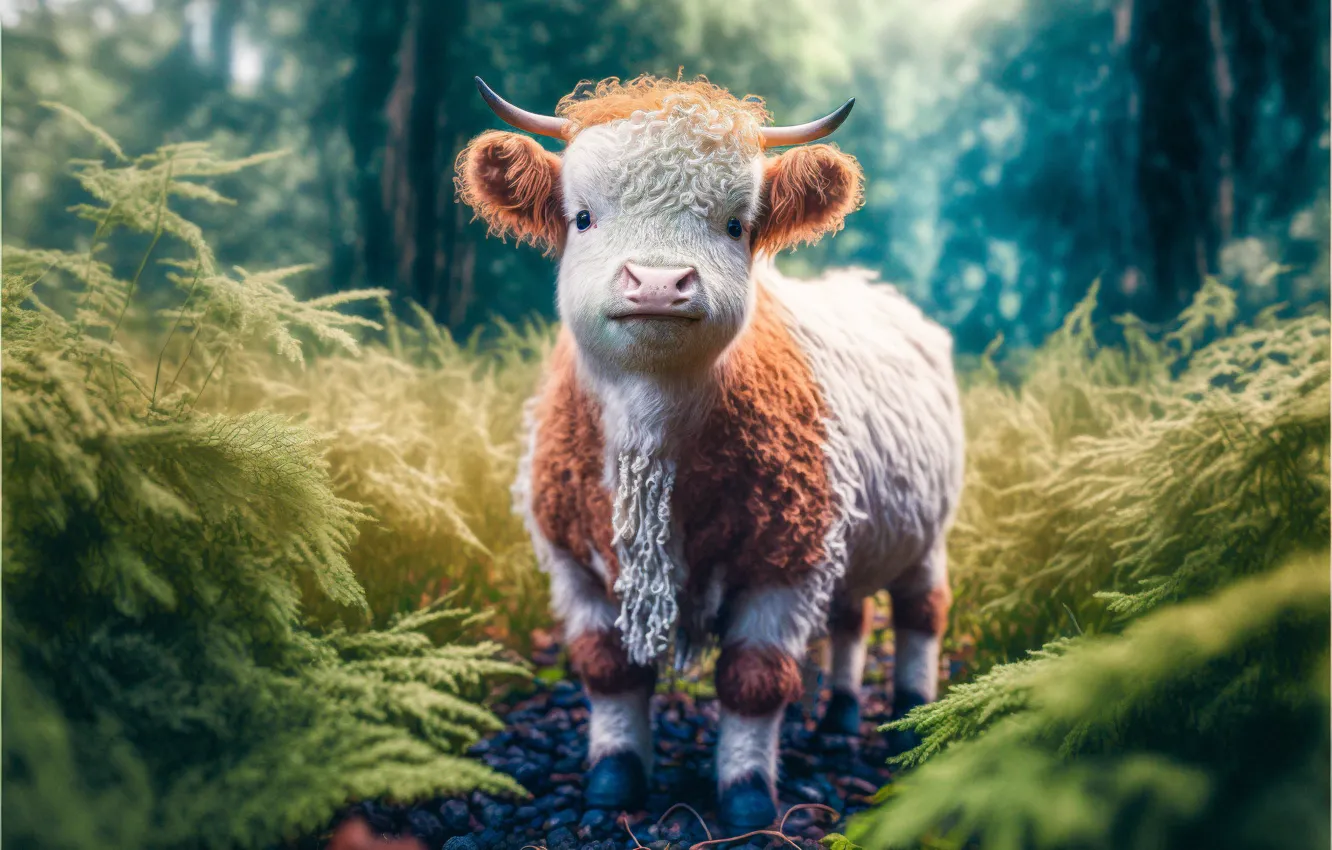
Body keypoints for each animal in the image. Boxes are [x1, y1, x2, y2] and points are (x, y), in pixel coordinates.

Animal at [455, 75, 964, 832]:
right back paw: (841, 716)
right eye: (582, 218)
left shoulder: (787, 557)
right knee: (851, 615)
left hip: (927, 533)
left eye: (735, 224)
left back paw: (908, 721)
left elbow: (755, 680)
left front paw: (748, 794)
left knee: (919, 613)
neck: (652, 441)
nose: (658, 284)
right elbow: (608, 668)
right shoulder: (573, 557)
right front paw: (613, 778)